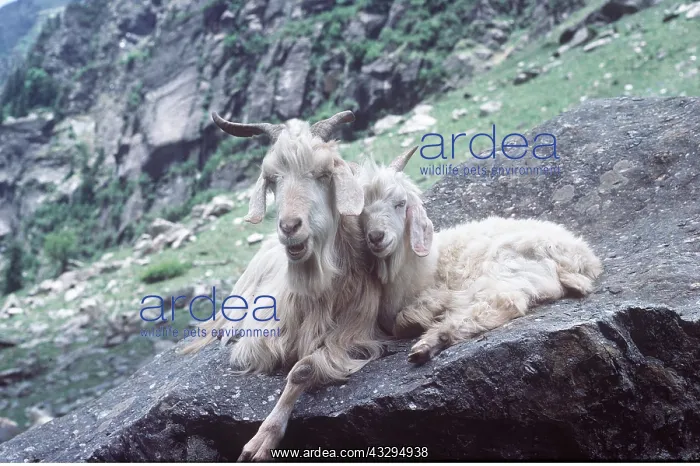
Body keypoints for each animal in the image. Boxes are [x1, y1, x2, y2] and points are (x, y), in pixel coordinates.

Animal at [182, 111, 386, 461]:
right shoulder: (263, 335)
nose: (290, 226)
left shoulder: (354, 331)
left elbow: (302, 369)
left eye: (324, 174)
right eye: (272, 179)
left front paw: (263, 439)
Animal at [358, 147, 604, 364]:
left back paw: (431, 341)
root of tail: (581, 259)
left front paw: (423, 316)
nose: (376, 237)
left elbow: (404, 320)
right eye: (361, 212)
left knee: (502, 302)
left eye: (400, 203)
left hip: (504, 266)